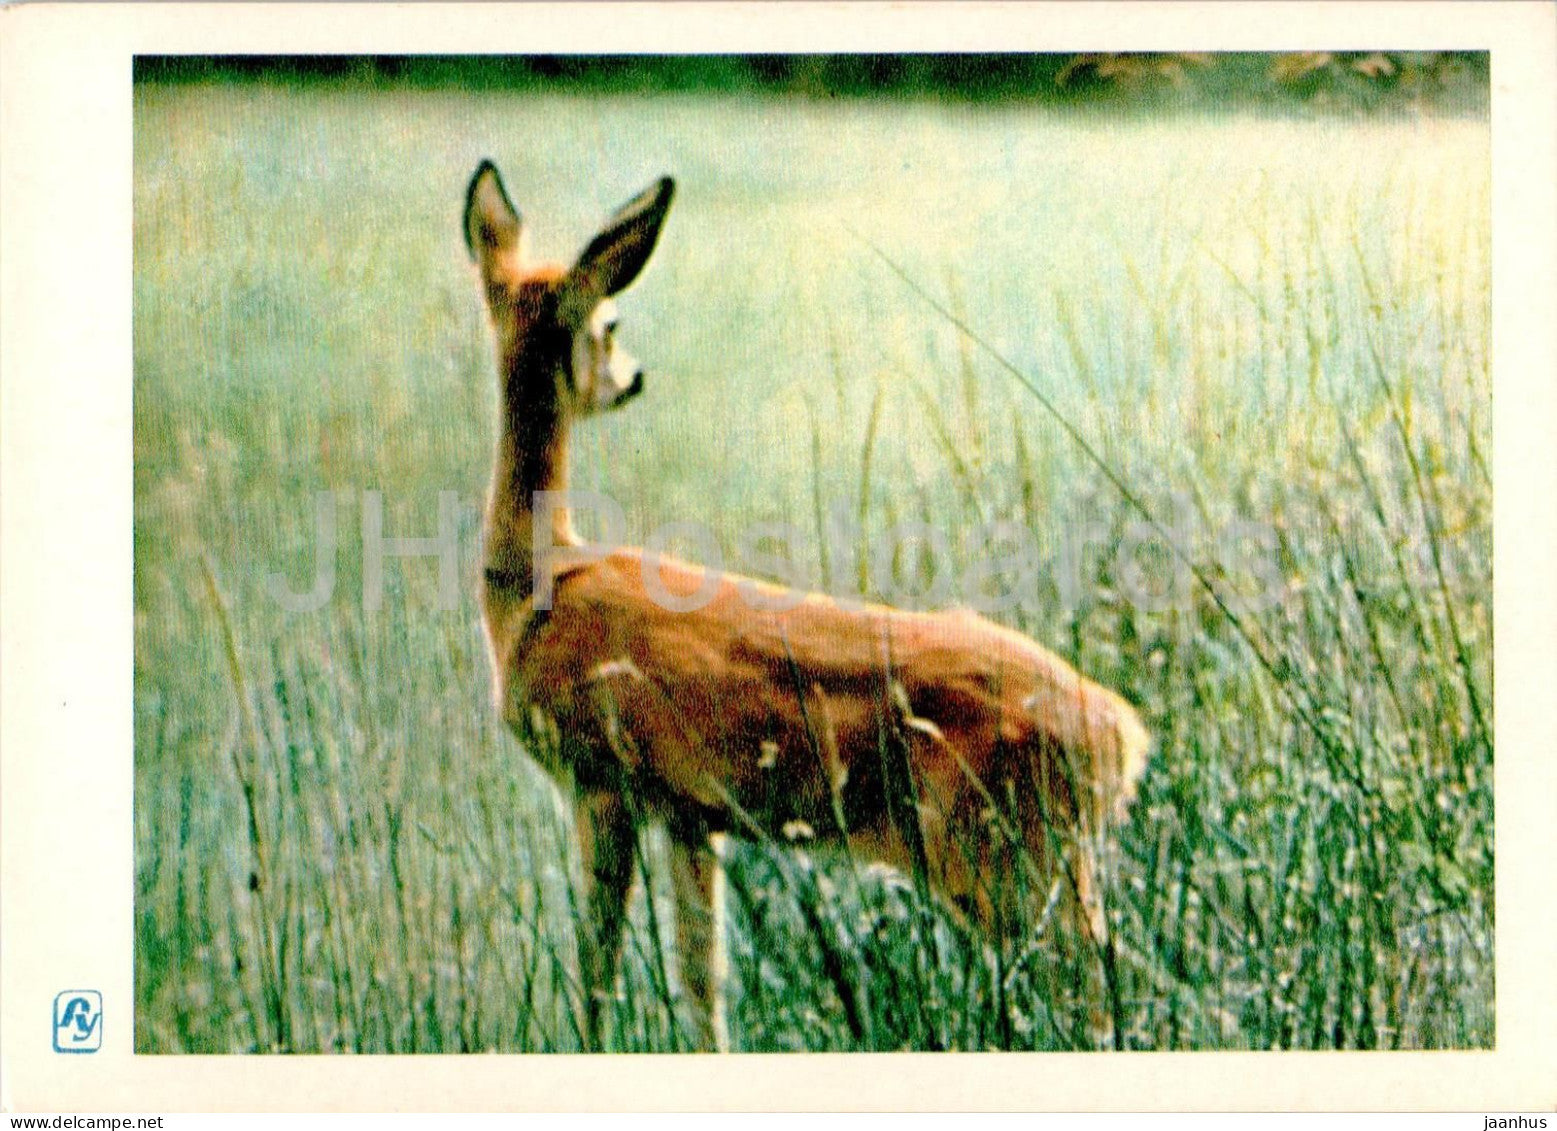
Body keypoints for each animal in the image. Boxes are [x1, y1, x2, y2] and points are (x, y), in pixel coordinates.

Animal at [462, 159, 1151, 1052]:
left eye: (609, 320)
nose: (635, 375)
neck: (539, 583)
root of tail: (1122, 736)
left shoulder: (600, 778)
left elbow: (597, 967)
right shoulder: (689, 812)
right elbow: (702, 979)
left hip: (1003, 852)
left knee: (1089, 993)